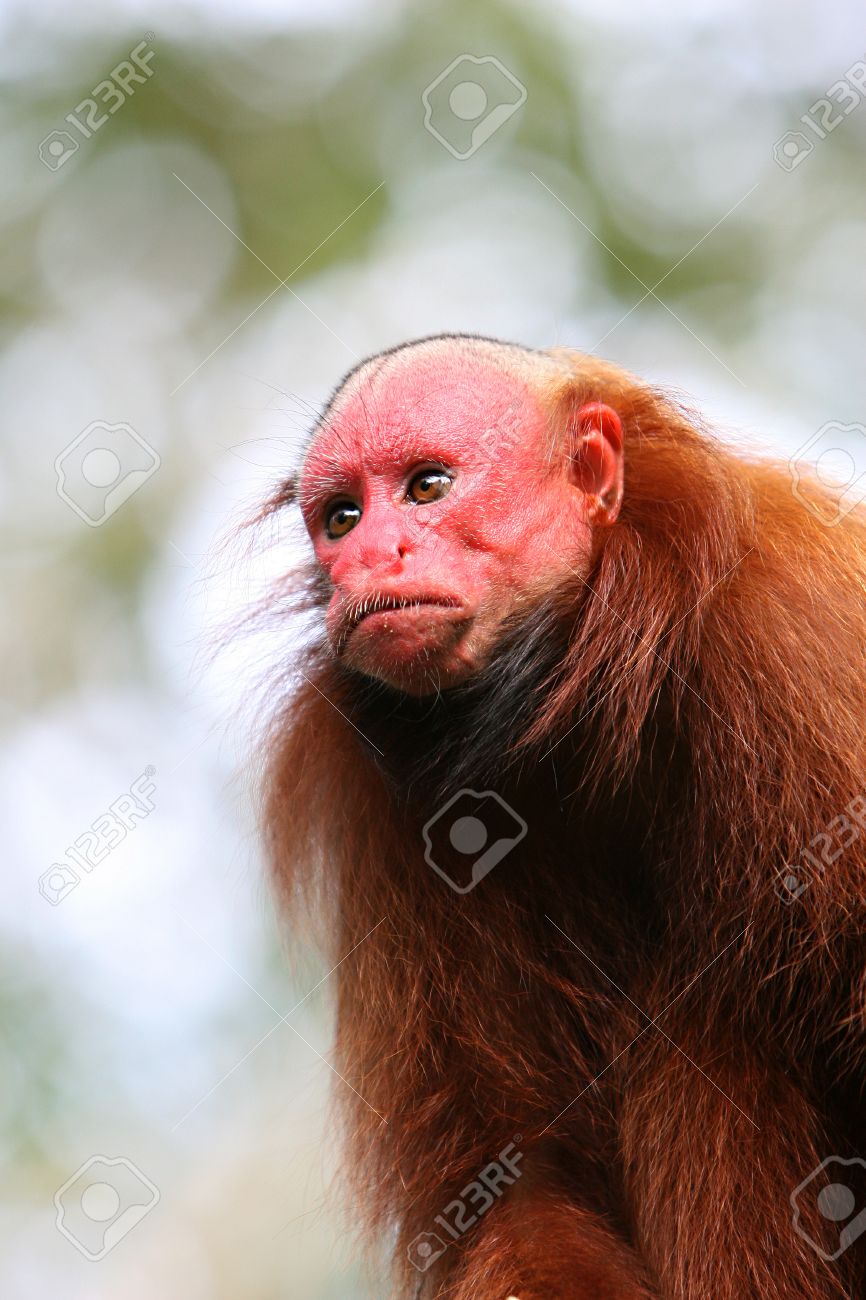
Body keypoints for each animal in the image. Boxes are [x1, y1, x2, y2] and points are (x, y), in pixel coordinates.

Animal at [259, 335, 866, 1298]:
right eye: (342, 517)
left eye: (427, 488)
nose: (371, 558)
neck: (609, 708)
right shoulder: (413, 821)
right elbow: (520, 1188)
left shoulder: (805, 647)